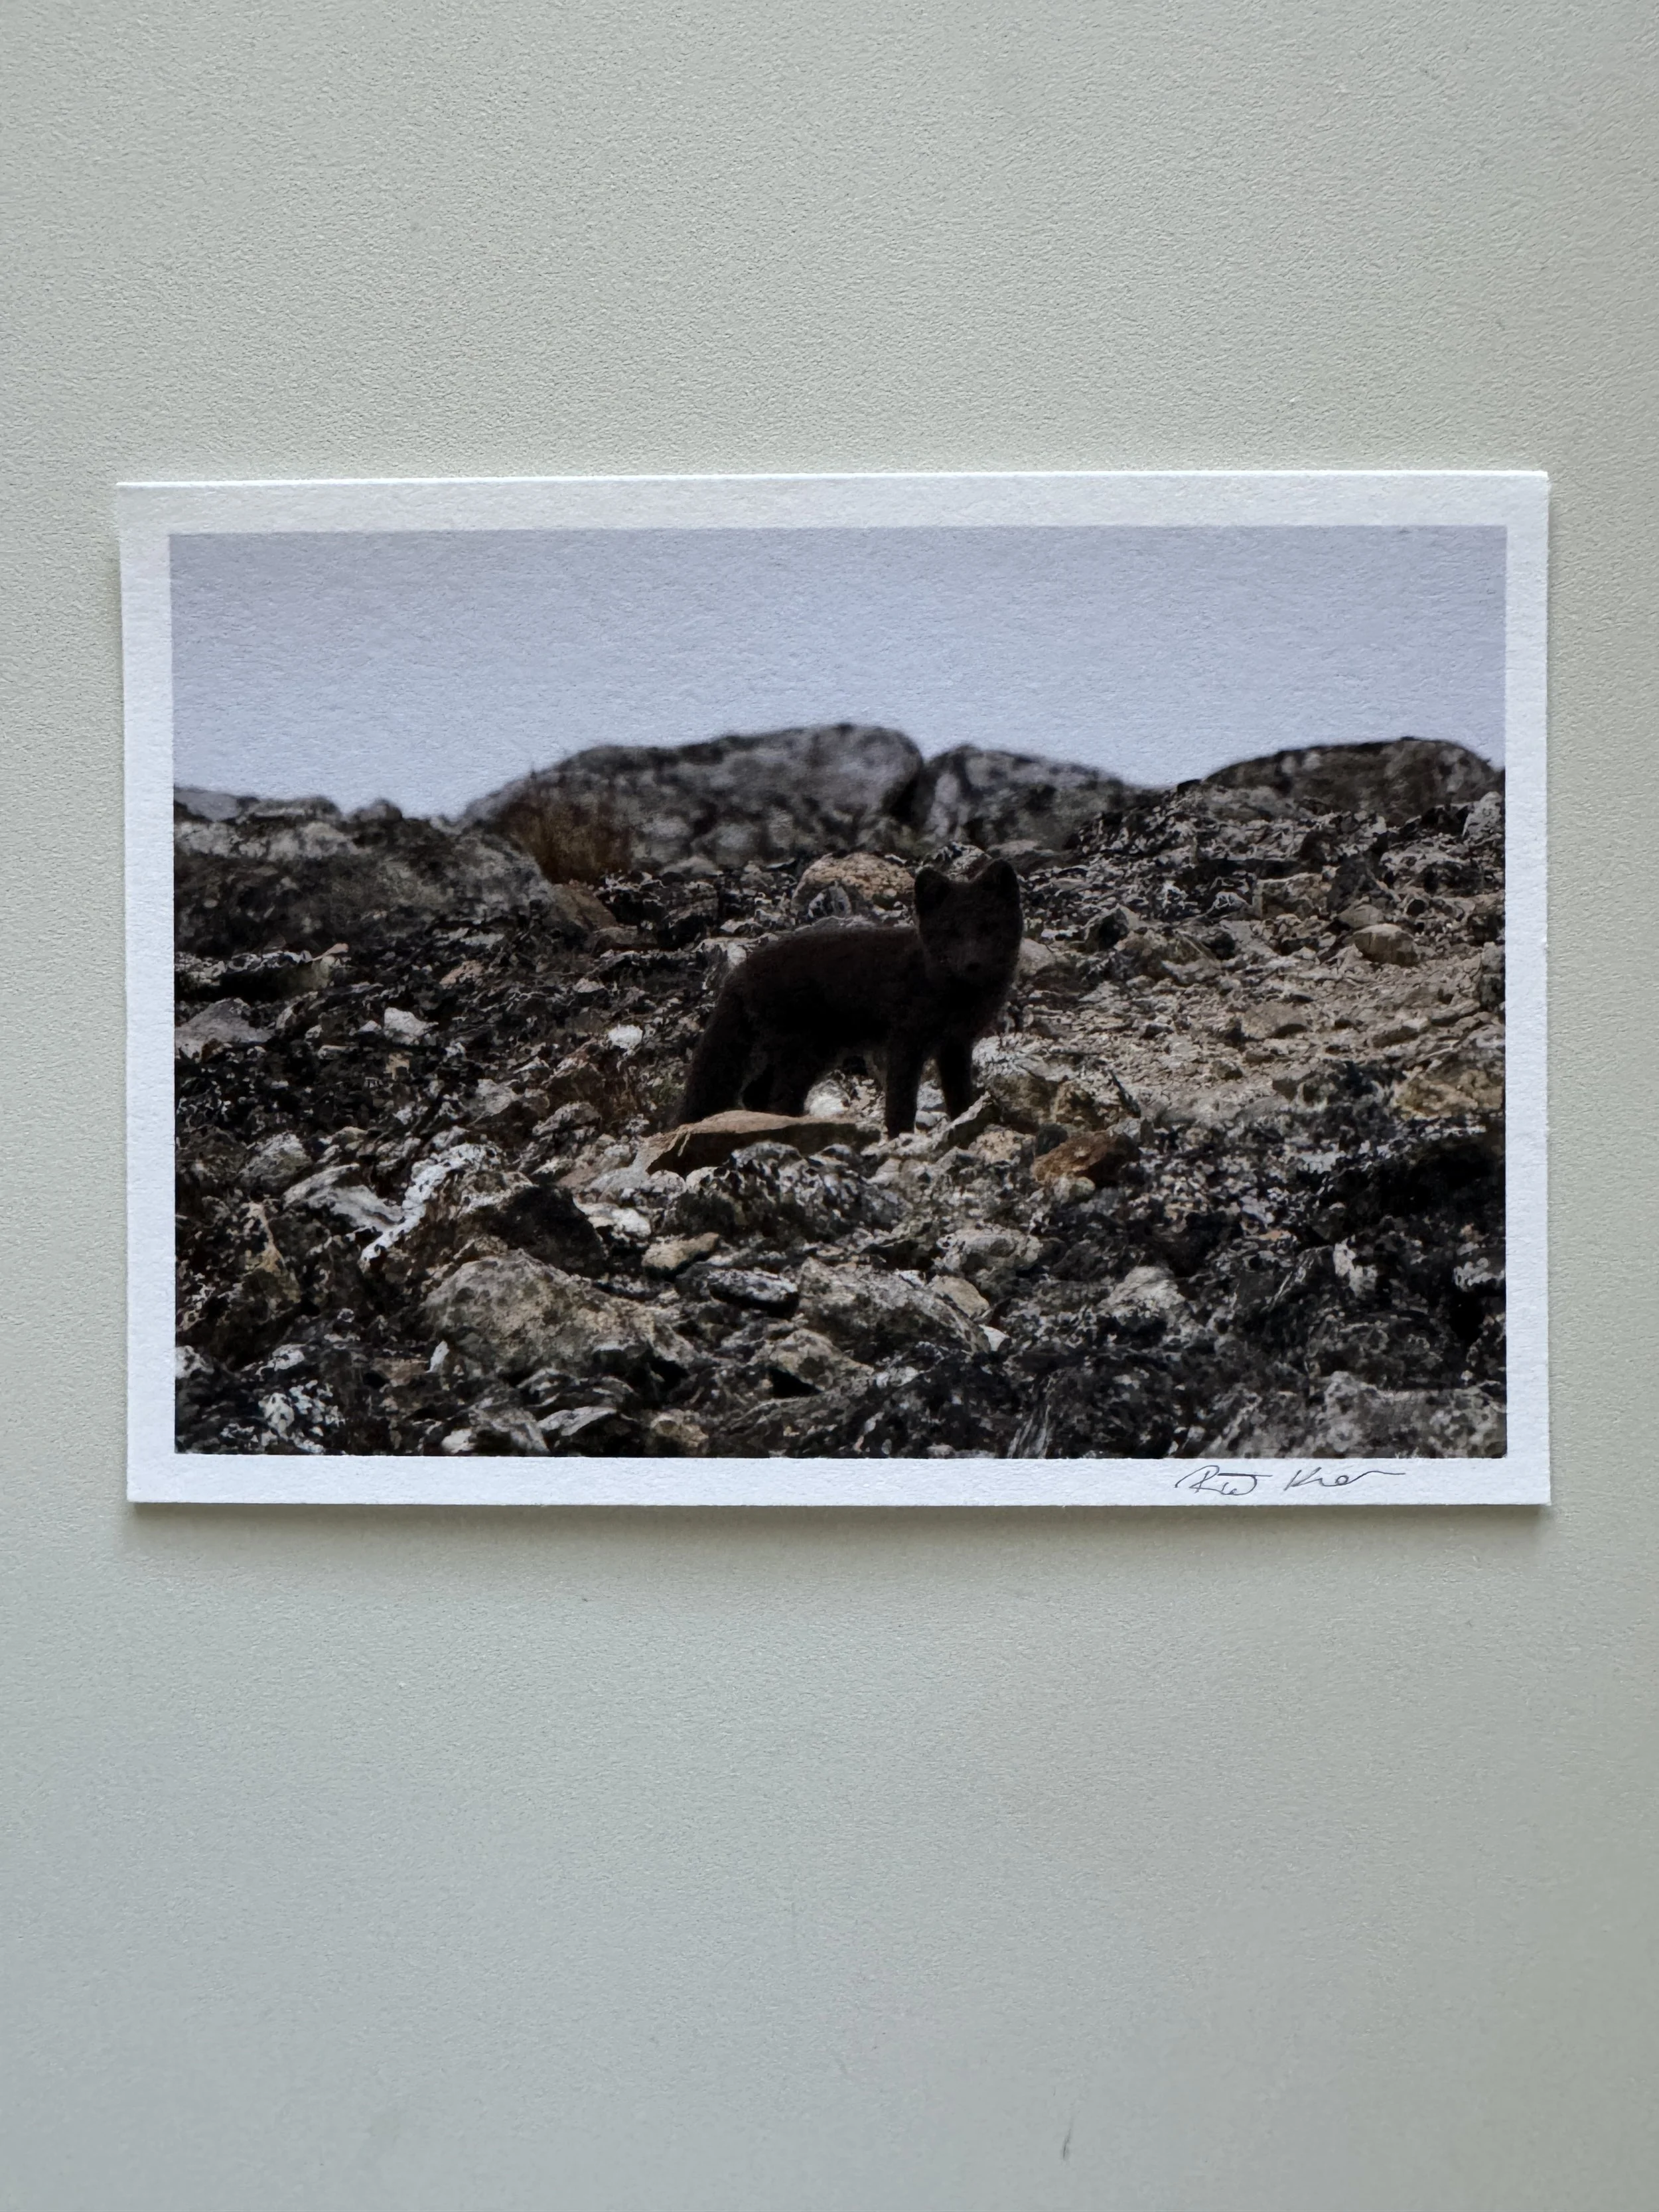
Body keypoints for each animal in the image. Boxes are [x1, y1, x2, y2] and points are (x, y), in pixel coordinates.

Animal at [675, 857, 1023, 1137]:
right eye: (951, 932)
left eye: (988, 927)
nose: (972, 963)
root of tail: (739, 973)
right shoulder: (906, 1042)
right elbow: (901, 1103)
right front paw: (899, 1138)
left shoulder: (956, 1044)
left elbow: (960, 1099)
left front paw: (964, 1124)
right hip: (803, 1053)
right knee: (778, 1098)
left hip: (814, 1052)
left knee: (755, 1094)